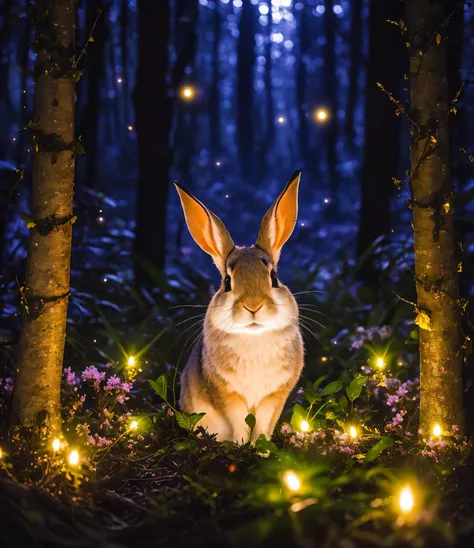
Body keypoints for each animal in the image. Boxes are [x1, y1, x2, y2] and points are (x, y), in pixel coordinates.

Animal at [174, 171, 304, 446]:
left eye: (273, 277)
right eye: (227, 282)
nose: (253, 305)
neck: (254, 336)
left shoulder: (273, 397)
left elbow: (262, 425)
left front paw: (260, 449)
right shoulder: (228, 395)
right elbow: (241, 424)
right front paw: (241, 446)